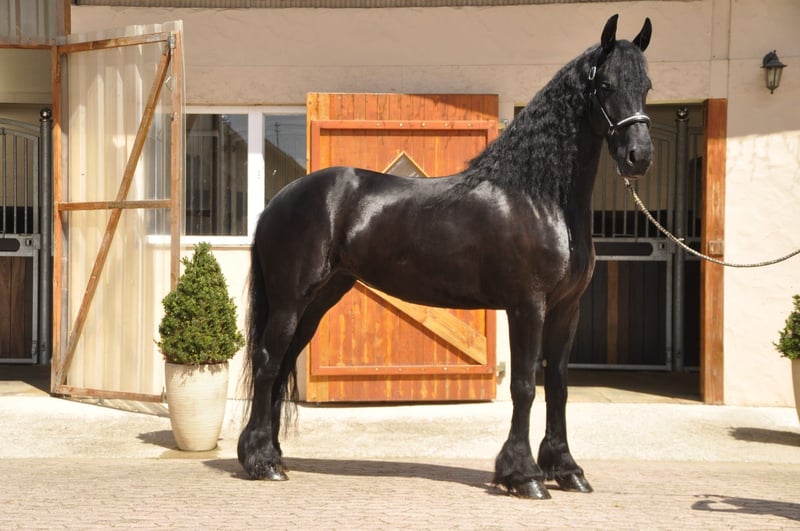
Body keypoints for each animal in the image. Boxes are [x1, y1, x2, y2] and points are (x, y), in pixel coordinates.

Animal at [238, 14, 653, 500]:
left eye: (646, 85)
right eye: (605, 84)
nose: (639, 156)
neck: (538, 197)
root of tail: (280, 199)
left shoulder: (566, 310)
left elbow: (558, 385)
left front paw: (566, 469)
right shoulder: (526, 306)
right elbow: (525, 385)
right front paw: (524, 475)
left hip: (320, 299)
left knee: (283, 362)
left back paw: (273, 455)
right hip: (291, 300)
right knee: (268, 362)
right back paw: (260, 461)